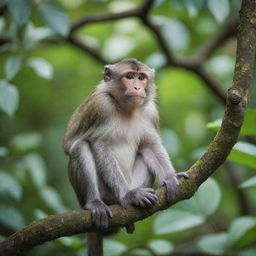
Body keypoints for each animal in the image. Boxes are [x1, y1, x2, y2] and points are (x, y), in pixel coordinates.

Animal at [63, 58, 189, 256]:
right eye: (129, 76)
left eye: (141, 77)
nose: (137, 87)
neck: (126, 109)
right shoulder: (101, 106)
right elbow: (100, 145)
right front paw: (128, 196)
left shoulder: (150, 112)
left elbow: (149, 146)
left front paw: (170, 177)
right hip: (99, 194)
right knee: (80, 147)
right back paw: (95, 202)